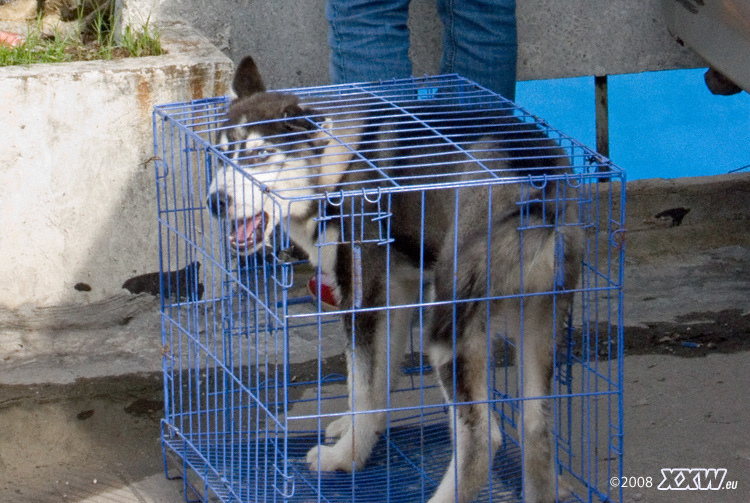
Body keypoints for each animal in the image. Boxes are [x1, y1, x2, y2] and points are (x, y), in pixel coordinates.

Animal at [209, 56, 584, 503]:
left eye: (261, 154)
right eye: (220, 155)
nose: (215, 202)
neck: (338, 164)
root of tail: (538, 180)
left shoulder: (361, 301)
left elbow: (361, 385)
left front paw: (345, 456)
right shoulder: (396, 294)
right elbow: (376, 383)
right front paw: (358, 430)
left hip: (448, 328)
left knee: (482, 439)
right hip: (540, 320)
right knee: (536, 428)